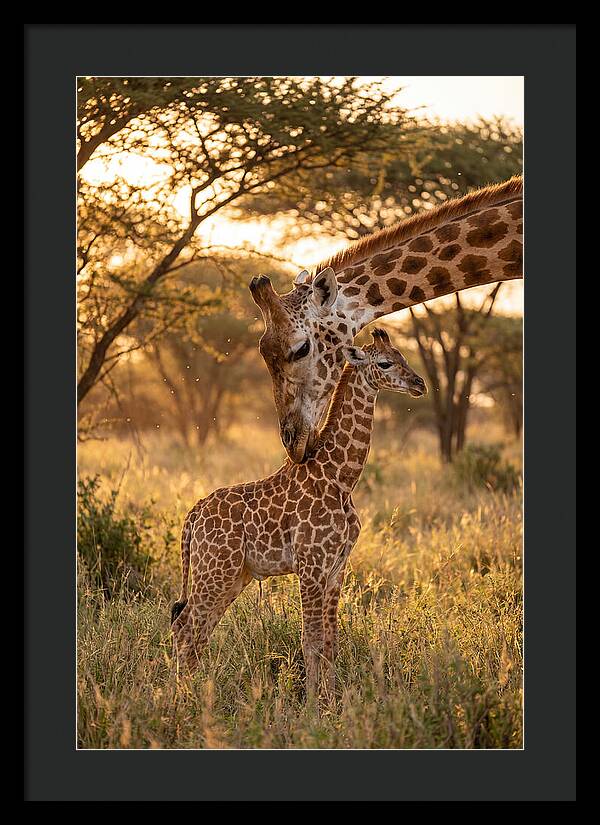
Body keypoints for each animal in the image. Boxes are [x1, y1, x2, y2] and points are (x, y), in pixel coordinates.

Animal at [171, 328, 427, 699]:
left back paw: (194, 695)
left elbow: (331, 641)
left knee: (197, 630)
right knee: (186, 628)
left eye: (402, 356)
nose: (419, 383)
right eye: (385, 363)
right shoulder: (311, 564)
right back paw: (181, 701)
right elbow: (311, 641)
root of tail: (192, 517)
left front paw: (332, 701)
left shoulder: (336, 568)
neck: (340, 477)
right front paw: (313, 706)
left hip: (233, 575)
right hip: (215, 570)